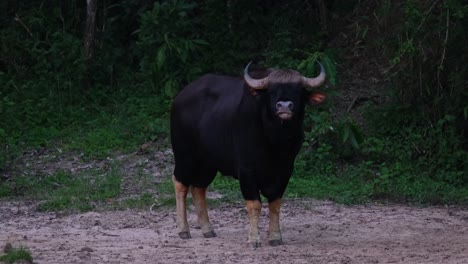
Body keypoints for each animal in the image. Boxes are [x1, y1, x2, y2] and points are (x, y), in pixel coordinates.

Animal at [170, 62, 328, 248]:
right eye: (271, 91)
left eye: (299, 91)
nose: (284, 106)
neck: (275, 141)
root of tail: (179, 98)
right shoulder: (246, 170)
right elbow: (254, 204)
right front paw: (254, 239)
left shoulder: (286, 169)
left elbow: (275, 203)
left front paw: (275, 237)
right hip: (184, 155)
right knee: (180, 183)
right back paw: (183, 229)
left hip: (208, 163)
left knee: (198, 188)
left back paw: (208, 228)